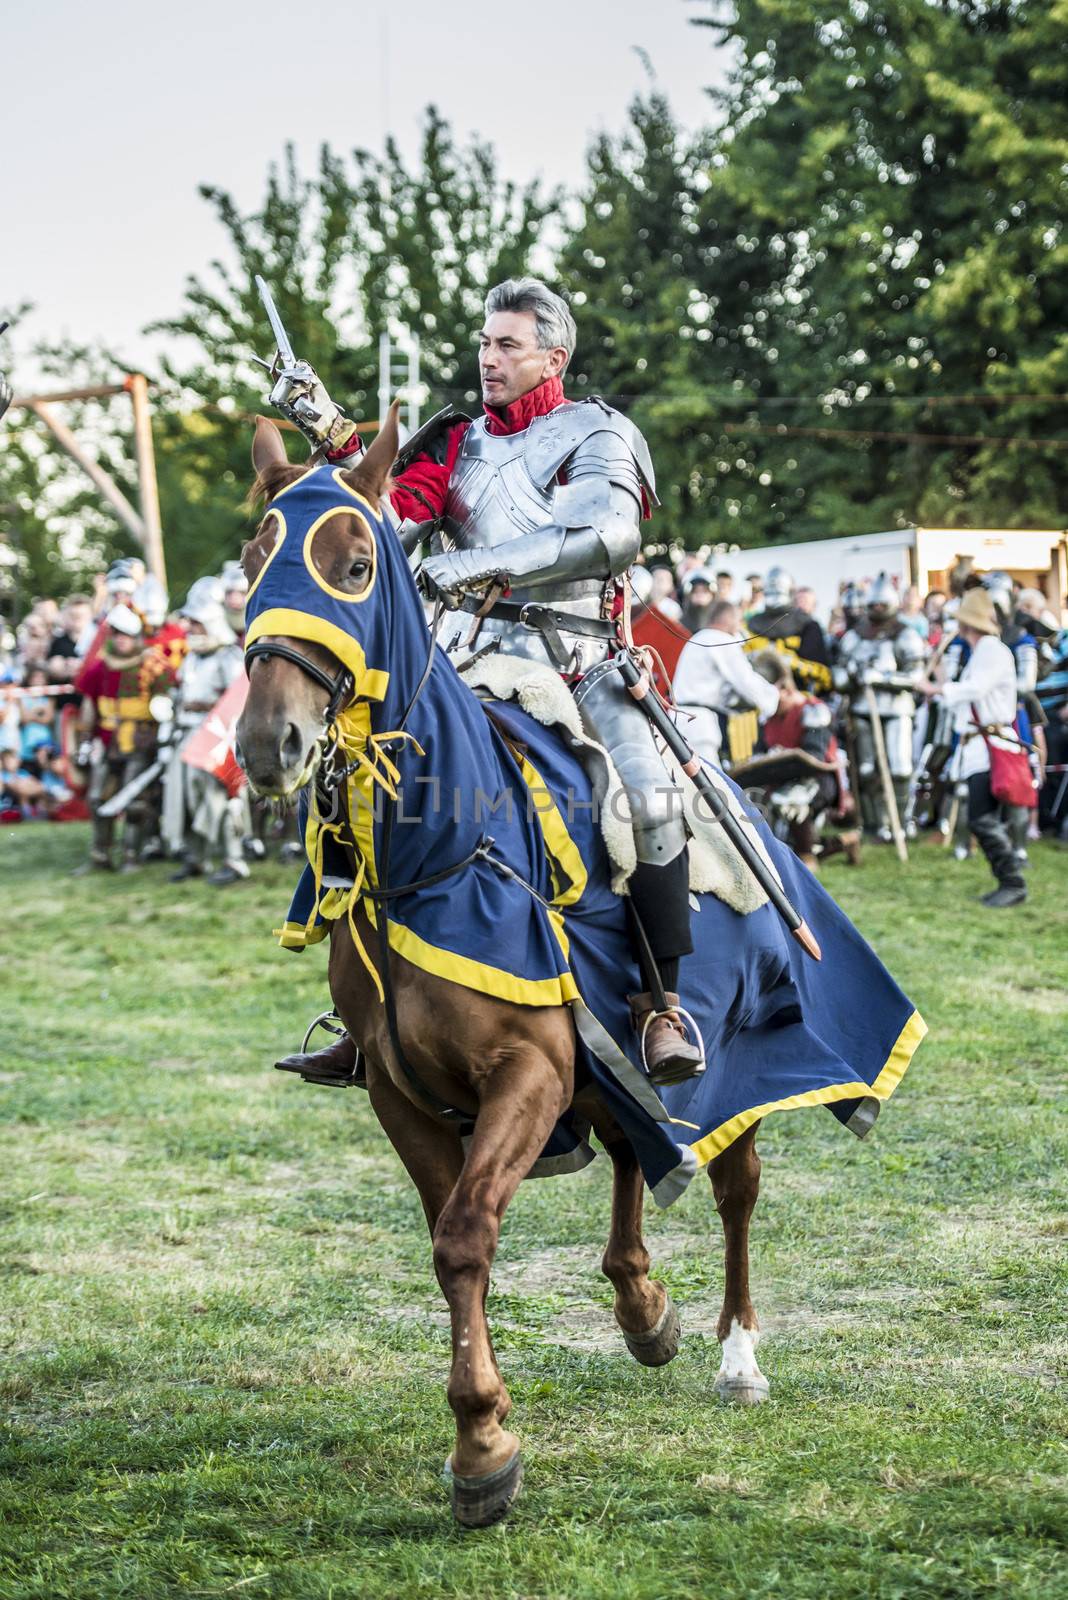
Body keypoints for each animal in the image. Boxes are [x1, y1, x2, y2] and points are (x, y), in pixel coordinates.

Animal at [235, 409, 767, 1523]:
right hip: (603, 1061)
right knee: (630, 1149)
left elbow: (467, 1234)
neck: (435, 847)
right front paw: (482, 1435)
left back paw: (739, 1353)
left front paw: (482, 1443)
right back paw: (643, 1304)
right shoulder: (402, 1089)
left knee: (735, 1184)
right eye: (253, 565)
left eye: (357, 565)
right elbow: (449, 1242)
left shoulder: (529, 1072)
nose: (270, 742)